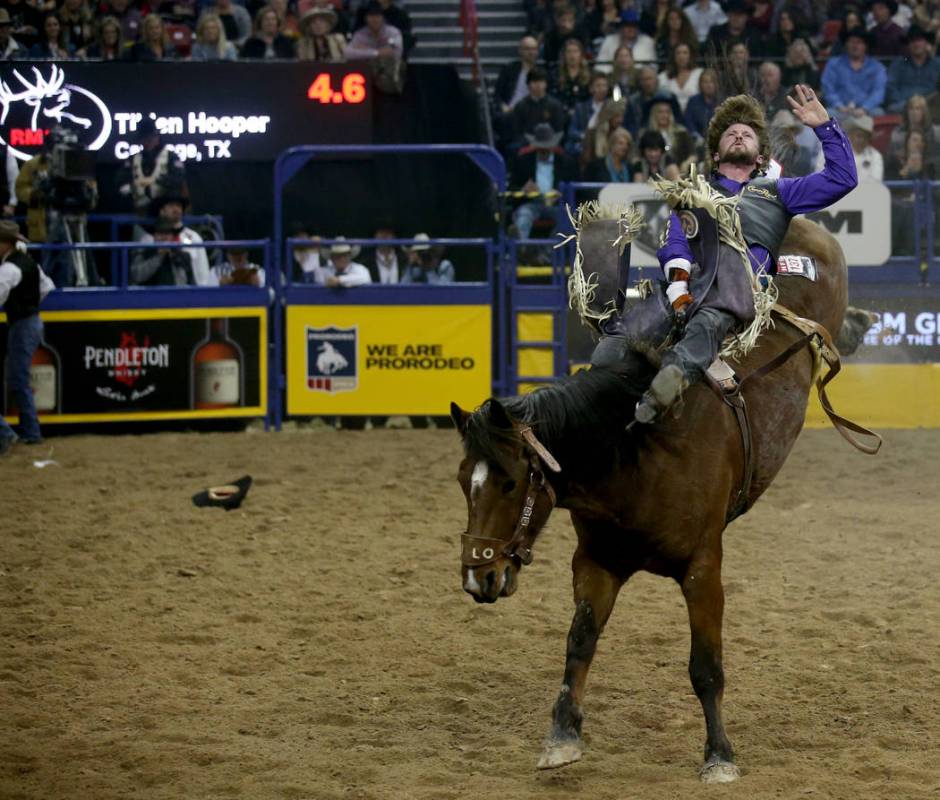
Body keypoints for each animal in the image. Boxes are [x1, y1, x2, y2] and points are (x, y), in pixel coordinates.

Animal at [448, 205, 880, 780]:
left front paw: (719, 755)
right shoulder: (596, 561)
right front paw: (562, 736)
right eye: (462, 480)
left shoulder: (703, 568)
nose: (479, 577)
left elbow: (705, 667)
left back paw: (855, 322)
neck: (634, 449)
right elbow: (579, 643)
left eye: (511, 481)